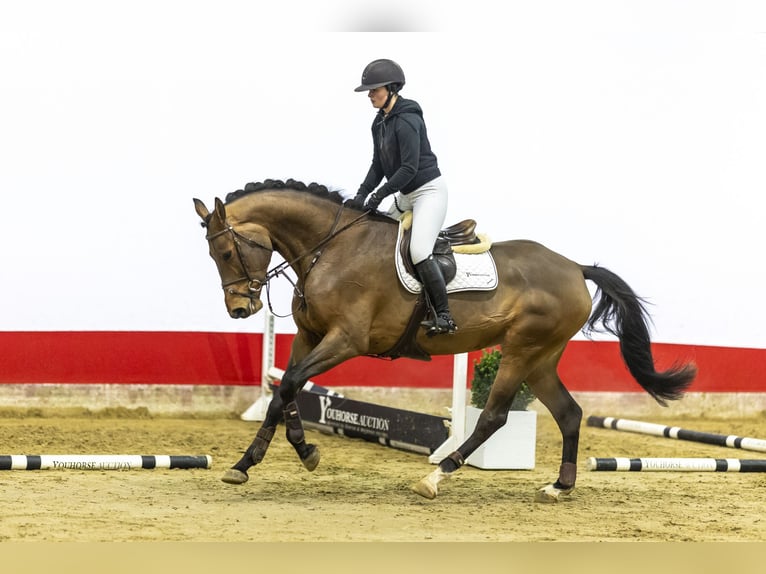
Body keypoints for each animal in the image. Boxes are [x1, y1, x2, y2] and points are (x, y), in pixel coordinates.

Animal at [192, 180, 696, 504]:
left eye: (226, 251)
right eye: (214, 255)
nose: (239, 310)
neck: (330, 249)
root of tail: (575, 267)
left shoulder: (344, 340)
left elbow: (291, 383)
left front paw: (260, 460)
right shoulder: (310, 336)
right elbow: (285, 389)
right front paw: (291, 452)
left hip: (521, 351)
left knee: (493, 417)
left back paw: (436, 476)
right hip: (541, 359)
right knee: (570, 413)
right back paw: (560, 486)